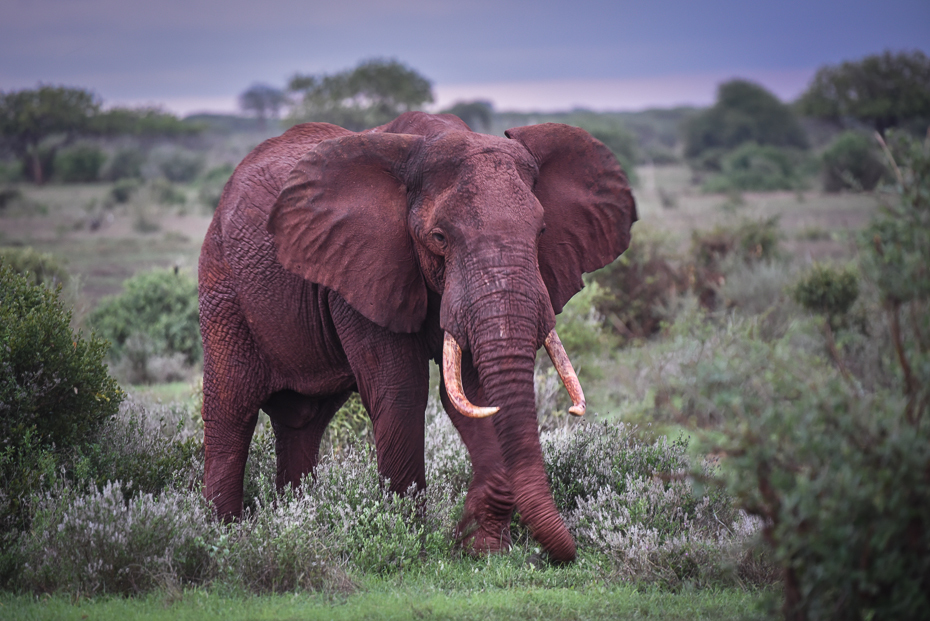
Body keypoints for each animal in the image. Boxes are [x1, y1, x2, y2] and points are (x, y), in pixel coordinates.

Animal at [198, 111, 636, 560]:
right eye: (439, 238)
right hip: (224, 288)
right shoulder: (363, 267)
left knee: (303, 420)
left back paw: (294, 516)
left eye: (542, 231)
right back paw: (223, 533)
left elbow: (475, 397)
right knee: (232, 409)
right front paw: (407, 538)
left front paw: (478, 545)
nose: (569, 553)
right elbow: (401, 392)